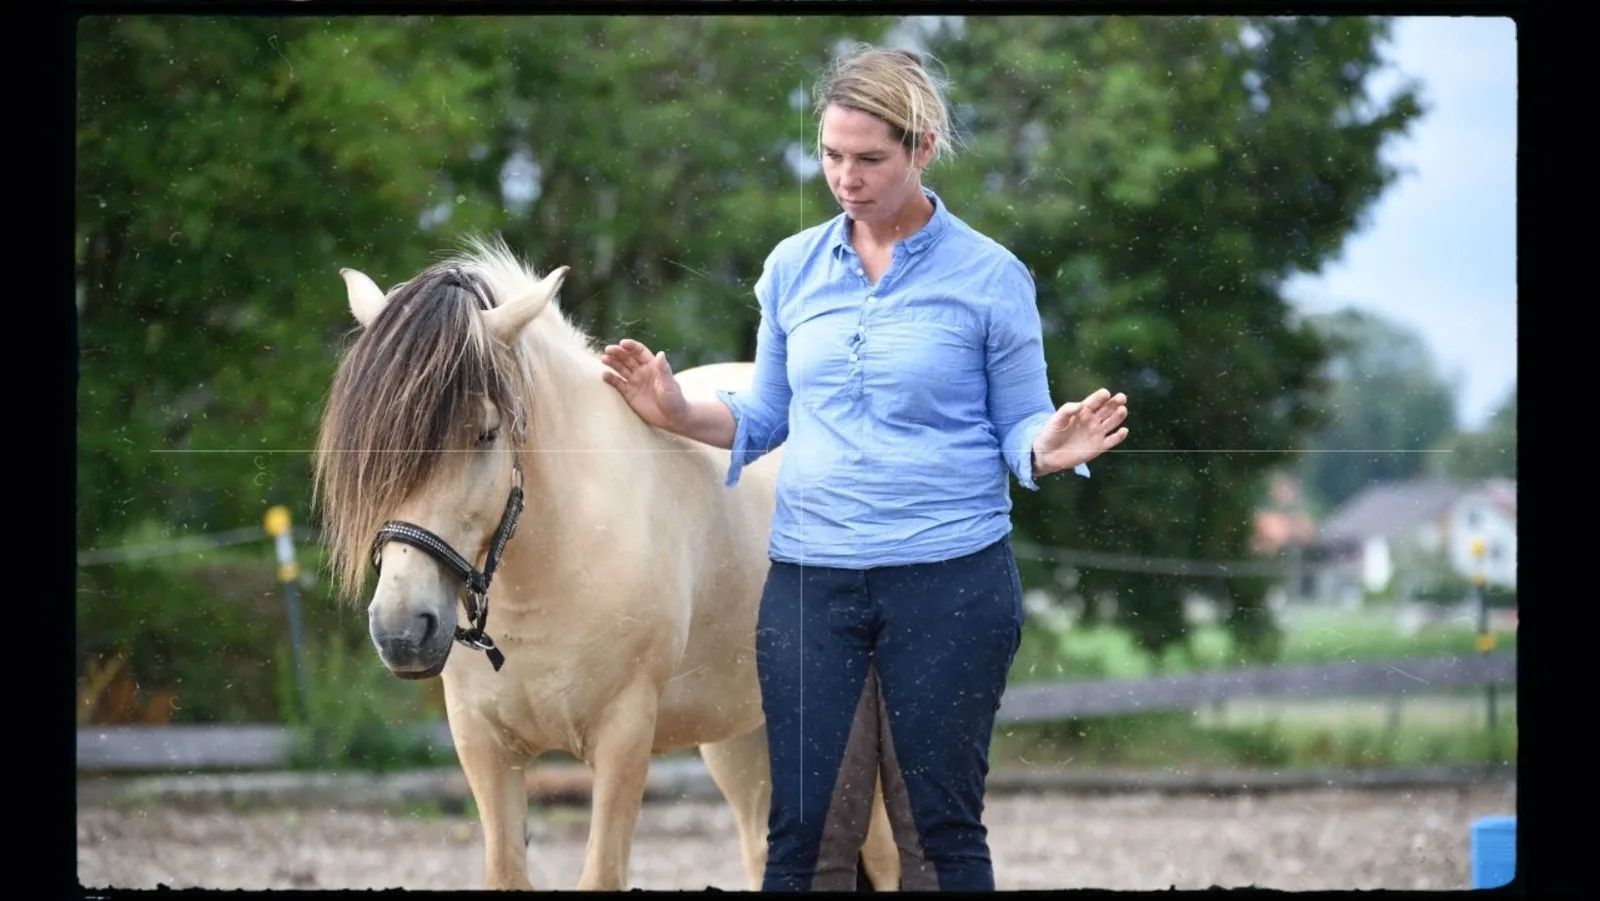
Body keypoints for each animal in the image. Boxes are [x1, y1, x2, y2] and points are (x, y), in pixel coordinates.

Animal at [311, 236, 900, 891]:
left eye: (486, 432)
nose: (402, 630)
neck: (550, 573)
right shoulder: (483, 745)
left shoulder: (623, 739)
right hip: (744, 737)